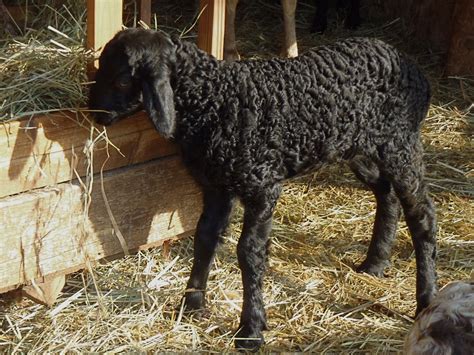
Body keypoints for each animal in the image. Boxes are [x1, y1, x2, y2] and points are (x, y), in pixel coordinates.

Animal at [88, 27, 436, 350]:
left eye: (122, 79)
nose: (95, 113)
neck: (216, 100)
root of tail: (412, 67)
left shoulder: (262, 186)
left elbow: (249, 252)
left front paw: (251, 329)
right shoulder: (217, 186)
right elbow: (205, 238)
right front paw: (191, 304)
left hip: (401, 146)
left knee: (422, 215)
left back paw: (426, 299)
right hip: (358, 148)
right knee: (386, 194)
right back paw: (375, 263)